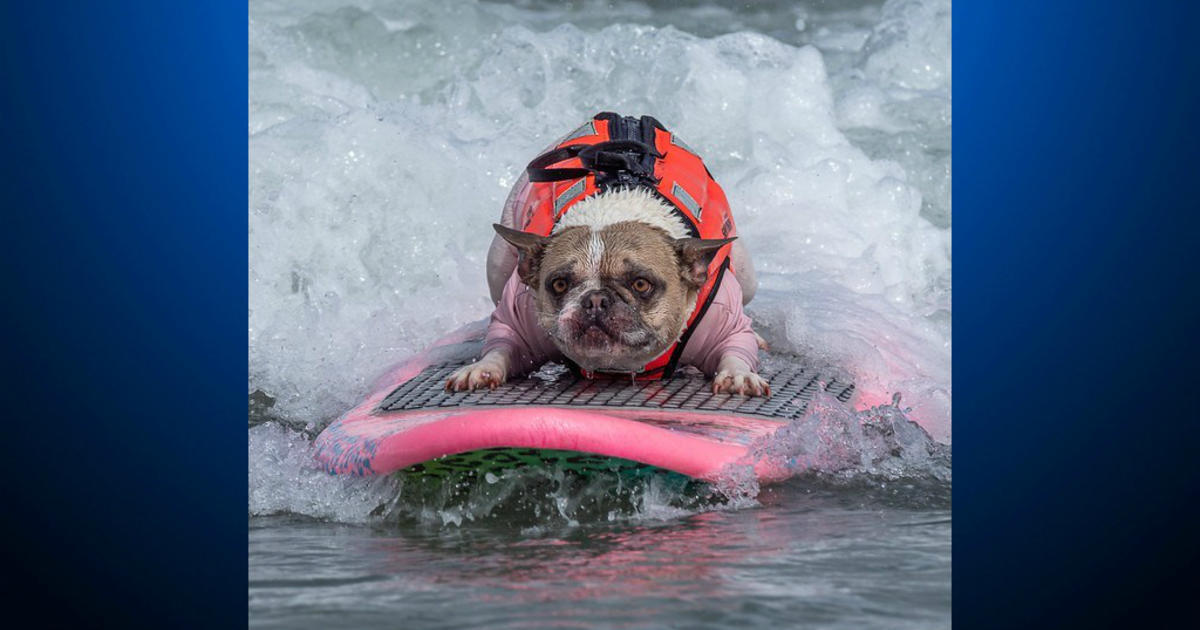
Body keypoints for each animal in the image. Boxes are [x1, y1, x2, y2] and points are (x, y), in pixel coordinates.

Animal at [444, 112, 768, 396]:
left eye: (641, 284)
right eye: (559, 284)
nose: (596, 300)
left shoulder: (721, 319)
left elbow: (735, 346)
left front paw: (738, 375)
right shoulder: (519, 314)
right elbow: (503, 343)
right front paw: (481, 369)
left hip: (747, 276)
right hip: (498, 263)